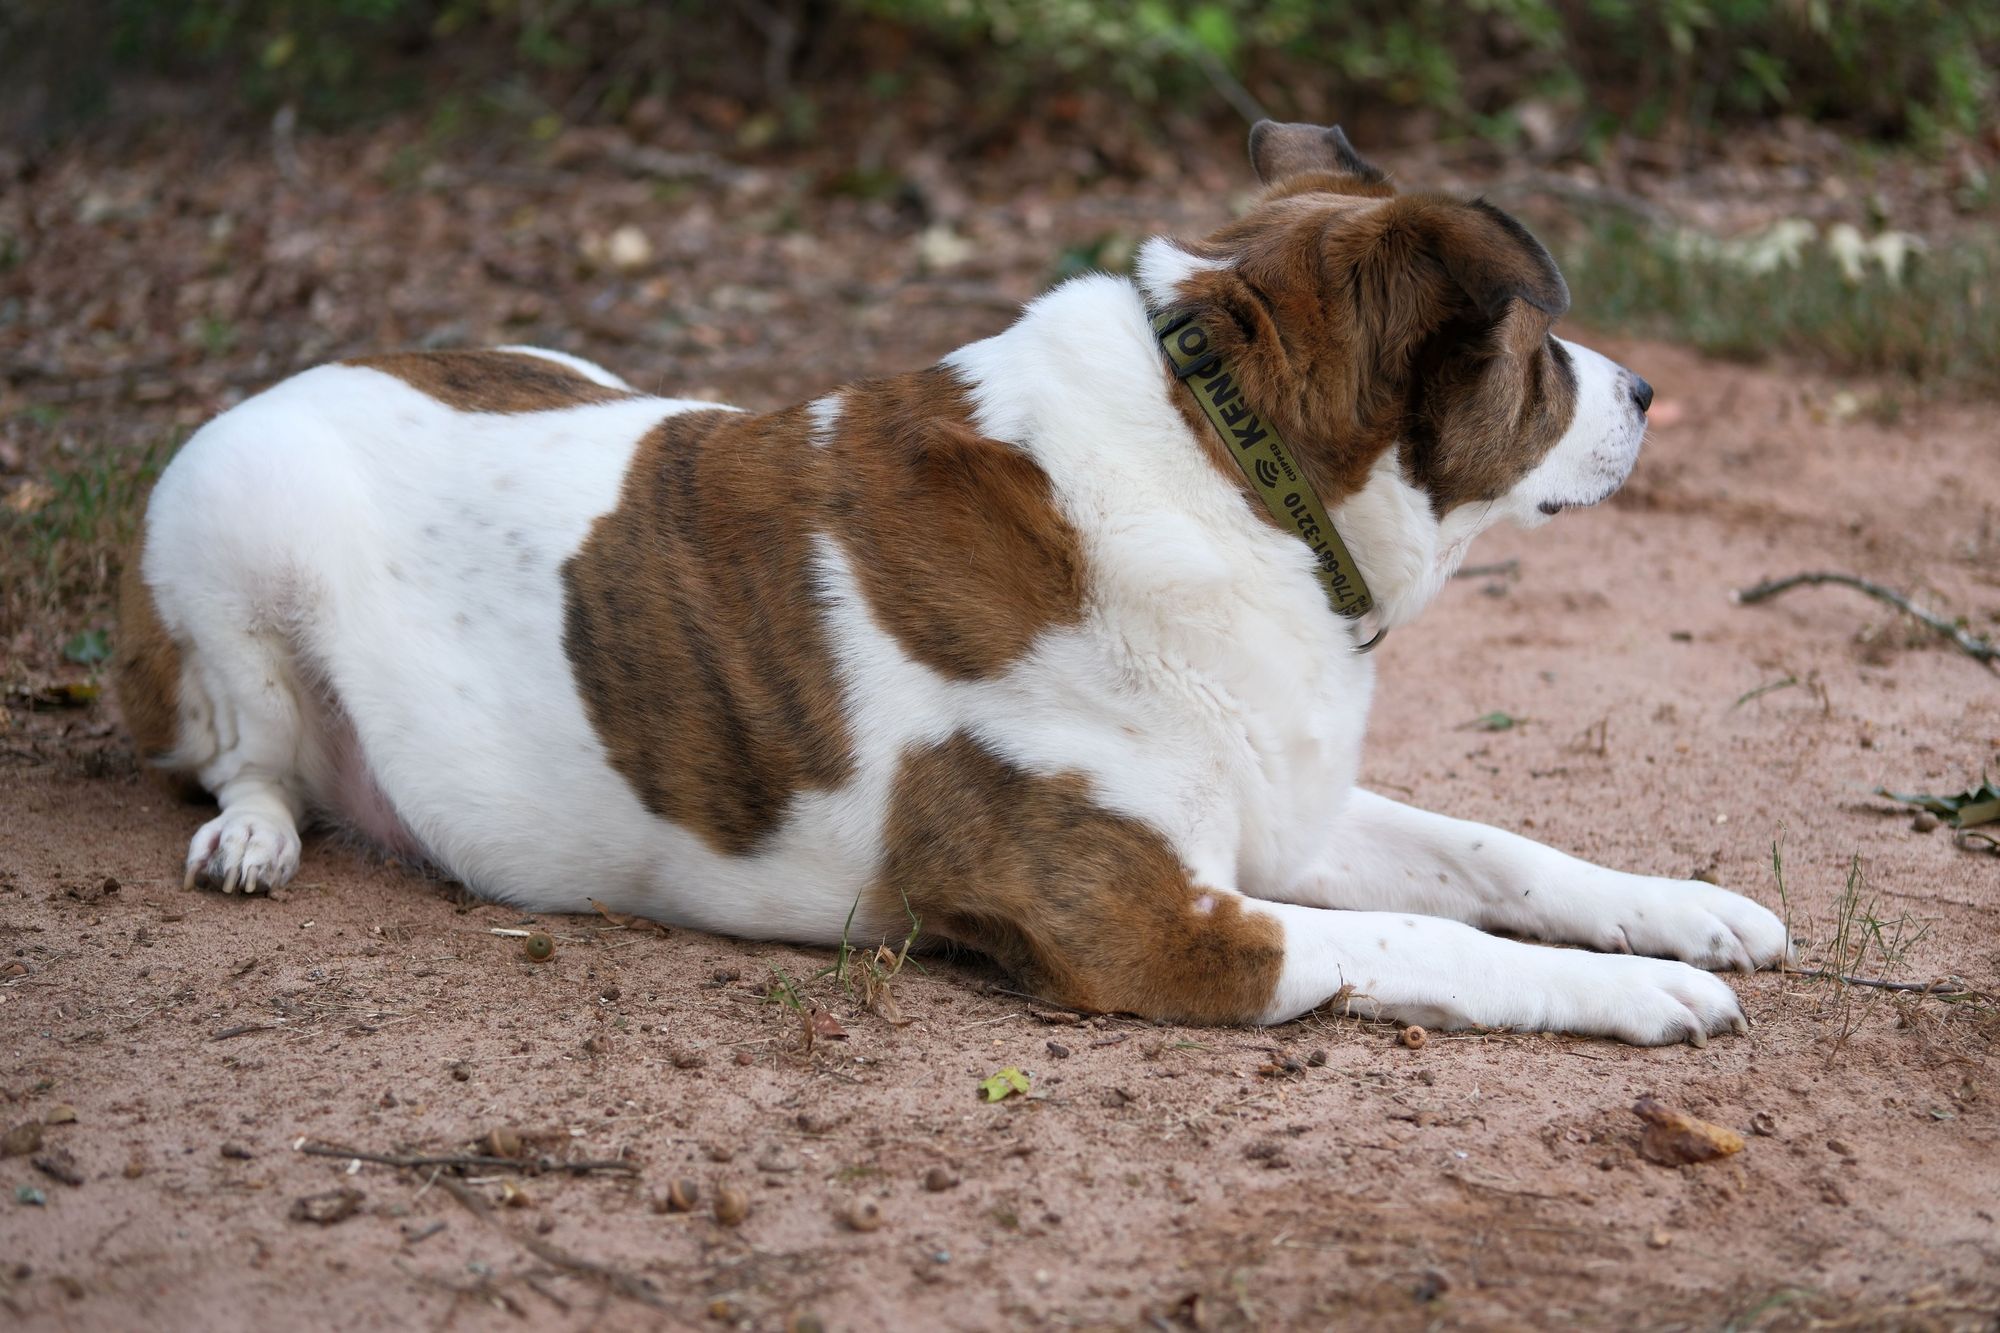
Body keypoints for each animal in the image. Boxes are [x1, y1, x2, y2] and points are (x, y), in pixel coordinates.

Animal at [117, 122, 1792, 1040]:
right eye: (1540, 353)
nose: (1649, 390)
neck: (1230, 466)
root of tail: (305, 366)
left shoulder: (1281, 820)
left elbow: (1499, 855)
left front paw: (1686, 915)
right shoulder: (1152, 927)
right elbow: (1435, 941)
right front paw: (1641, 995)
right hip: (231, 536)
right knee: (242, 759)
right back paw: (255, 837)